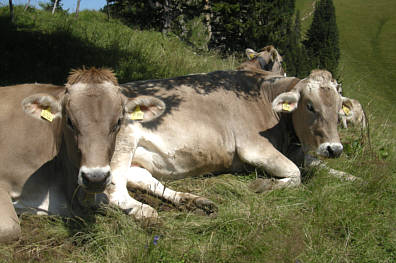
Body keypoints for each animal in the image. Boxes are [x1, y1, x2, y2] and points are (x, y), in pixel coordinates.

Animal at [105, 68, 346, 223]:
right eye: (310, 106)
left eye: (339, 109)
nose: (334, 149)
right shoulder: (253, 146)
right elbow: (296, 173)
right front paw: (262, 185)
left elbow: (316, 165)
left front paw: (349, 178)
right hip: (123, 143)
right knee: (114, 193)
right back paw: (144, 212)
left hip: (137, 159)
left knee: (143, 179)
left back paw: (195, 202)